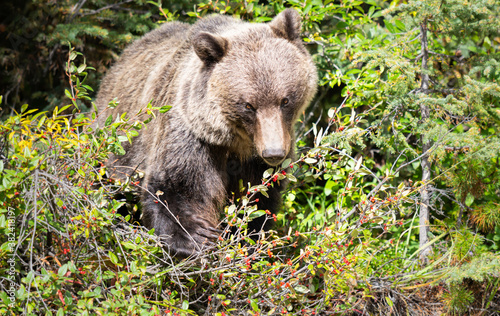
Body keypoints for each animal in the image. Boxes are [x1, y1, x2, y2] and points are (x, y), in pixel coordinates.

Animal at [94, 8, 316, 258]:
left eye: (285, 100)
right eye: (248, 105)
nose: (274, 152)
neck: (235, 141)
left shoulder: (258, 161)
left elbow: (258, 202)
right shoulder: (193, 134)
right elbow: (175, 186)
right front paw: (196, 236)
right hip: (115, 144)